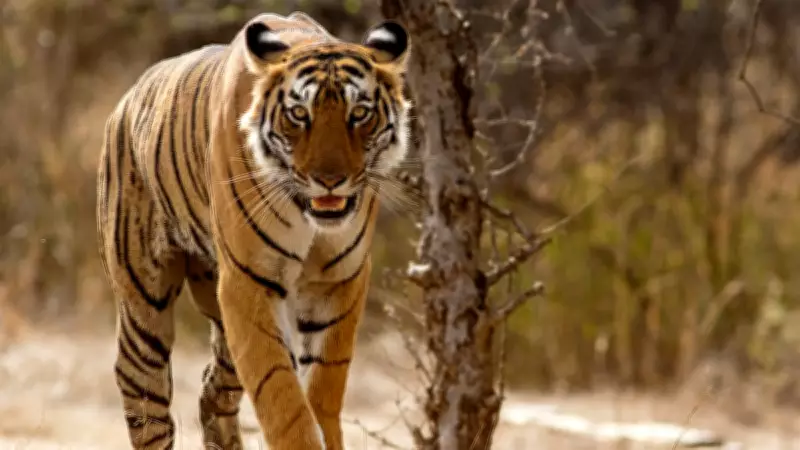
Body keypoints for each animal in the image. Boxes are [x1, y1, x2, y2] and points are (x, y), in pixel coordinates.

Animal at [96, 11, 411, 450]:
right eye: (299, 115)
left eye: (359, 113)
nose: (330, 181)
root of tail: (127, 100)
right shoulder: (248, 283)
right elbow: (280, 394)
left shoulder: (339, 282)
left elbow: (323, 386)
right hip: (145, 301)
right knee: (143, 392)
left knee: (214, 388)